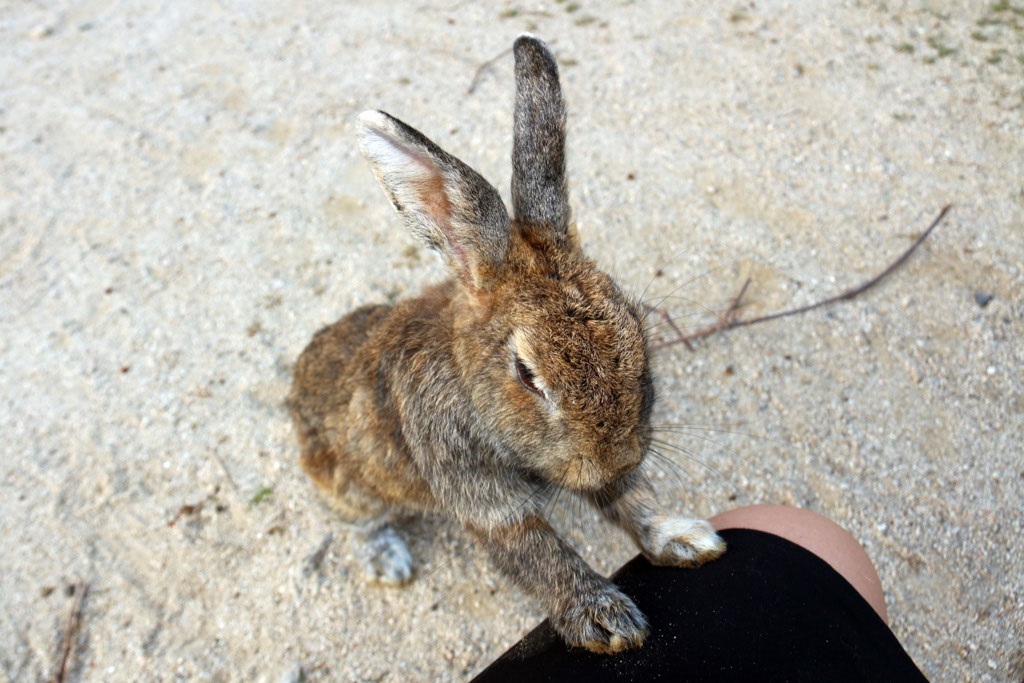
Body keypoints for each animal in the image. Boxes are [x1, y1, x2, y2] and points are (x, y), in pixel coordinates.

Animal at [287, 34, 726, 654]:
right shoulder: (477, 486)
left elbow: (627, 502)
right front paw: (604, 621)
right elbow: (536, 550)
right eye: (526, 374)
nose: (616, 457)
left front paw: (682, 538)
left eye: (636, 325)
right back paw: (389, 559)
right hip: (350, 482)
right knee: (356, 518)